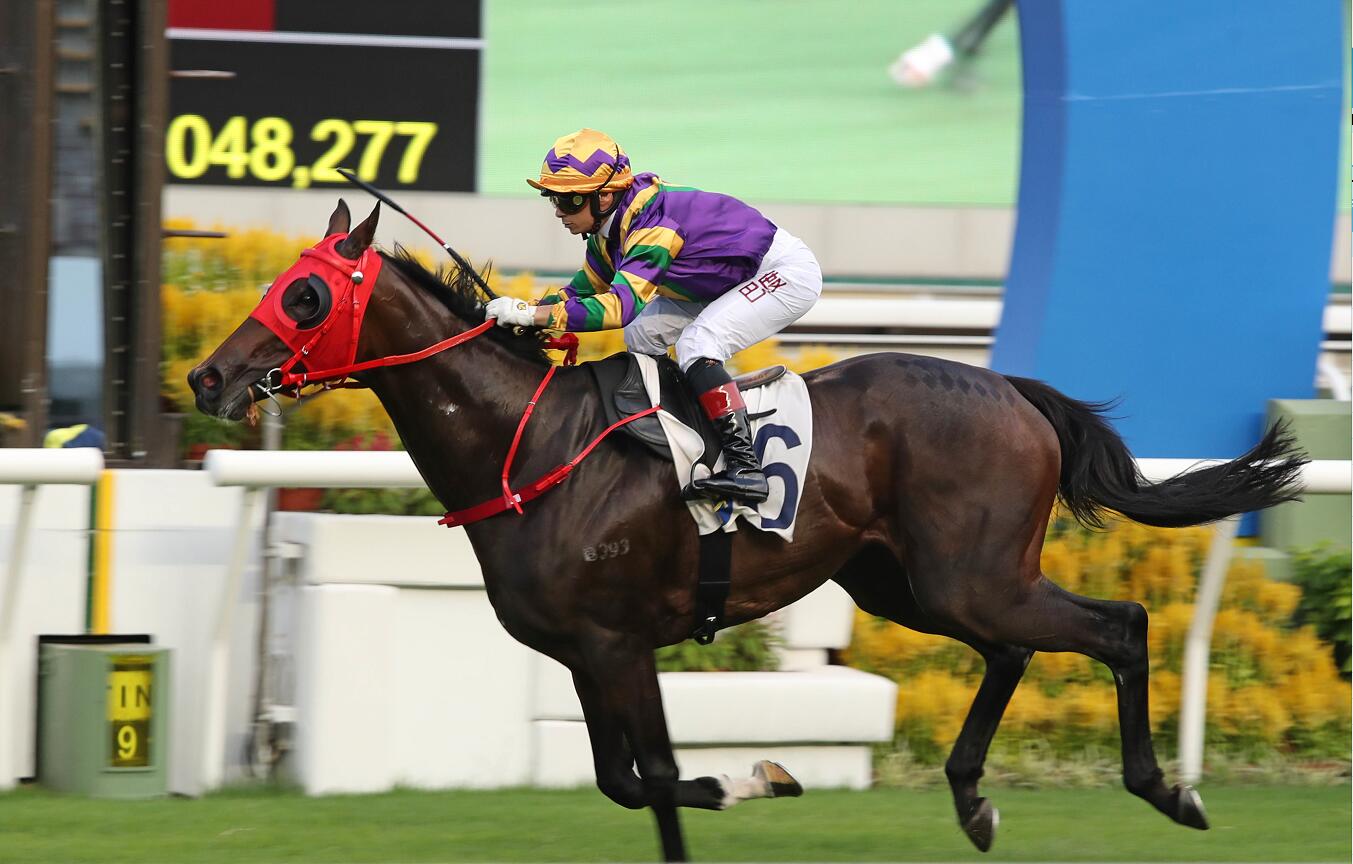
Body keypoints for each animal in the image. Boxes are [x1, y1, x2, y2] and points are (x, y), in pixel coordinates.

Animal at [188, 200, 1306, 861]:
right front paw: (756, 774)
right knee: (1011, 651)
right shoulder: (586, 653)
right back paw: (971, 799)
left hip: (970, 575)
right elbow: (626, 783)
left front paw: (761, 773)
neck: (532, 442)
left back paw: (1166, 792)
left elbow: (657, 781)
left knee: (1119, 625)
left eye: (304, 294)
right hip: (908, 583)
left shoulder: (619, 643)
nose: (206, 376)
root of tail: (1014, 392)